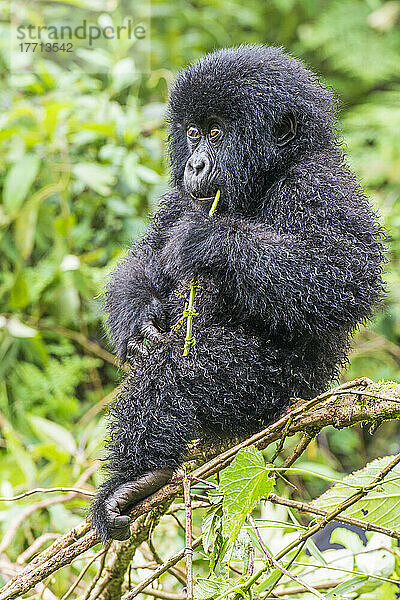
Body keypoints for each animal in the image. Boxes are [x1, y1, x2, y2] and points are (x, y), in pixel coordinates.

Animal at [90, 44, 384, 540]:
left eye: (216, 133)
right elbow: (143, 259)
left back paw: (136, 477)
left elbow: (342, 277)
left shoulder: (318, 184)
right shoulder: (178, 199)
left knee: (181, 373)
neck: (268, 175)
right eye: (192, 134)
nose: (195, 164)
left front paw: (208, 241)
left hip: (276, 390)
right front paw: (137, 319)